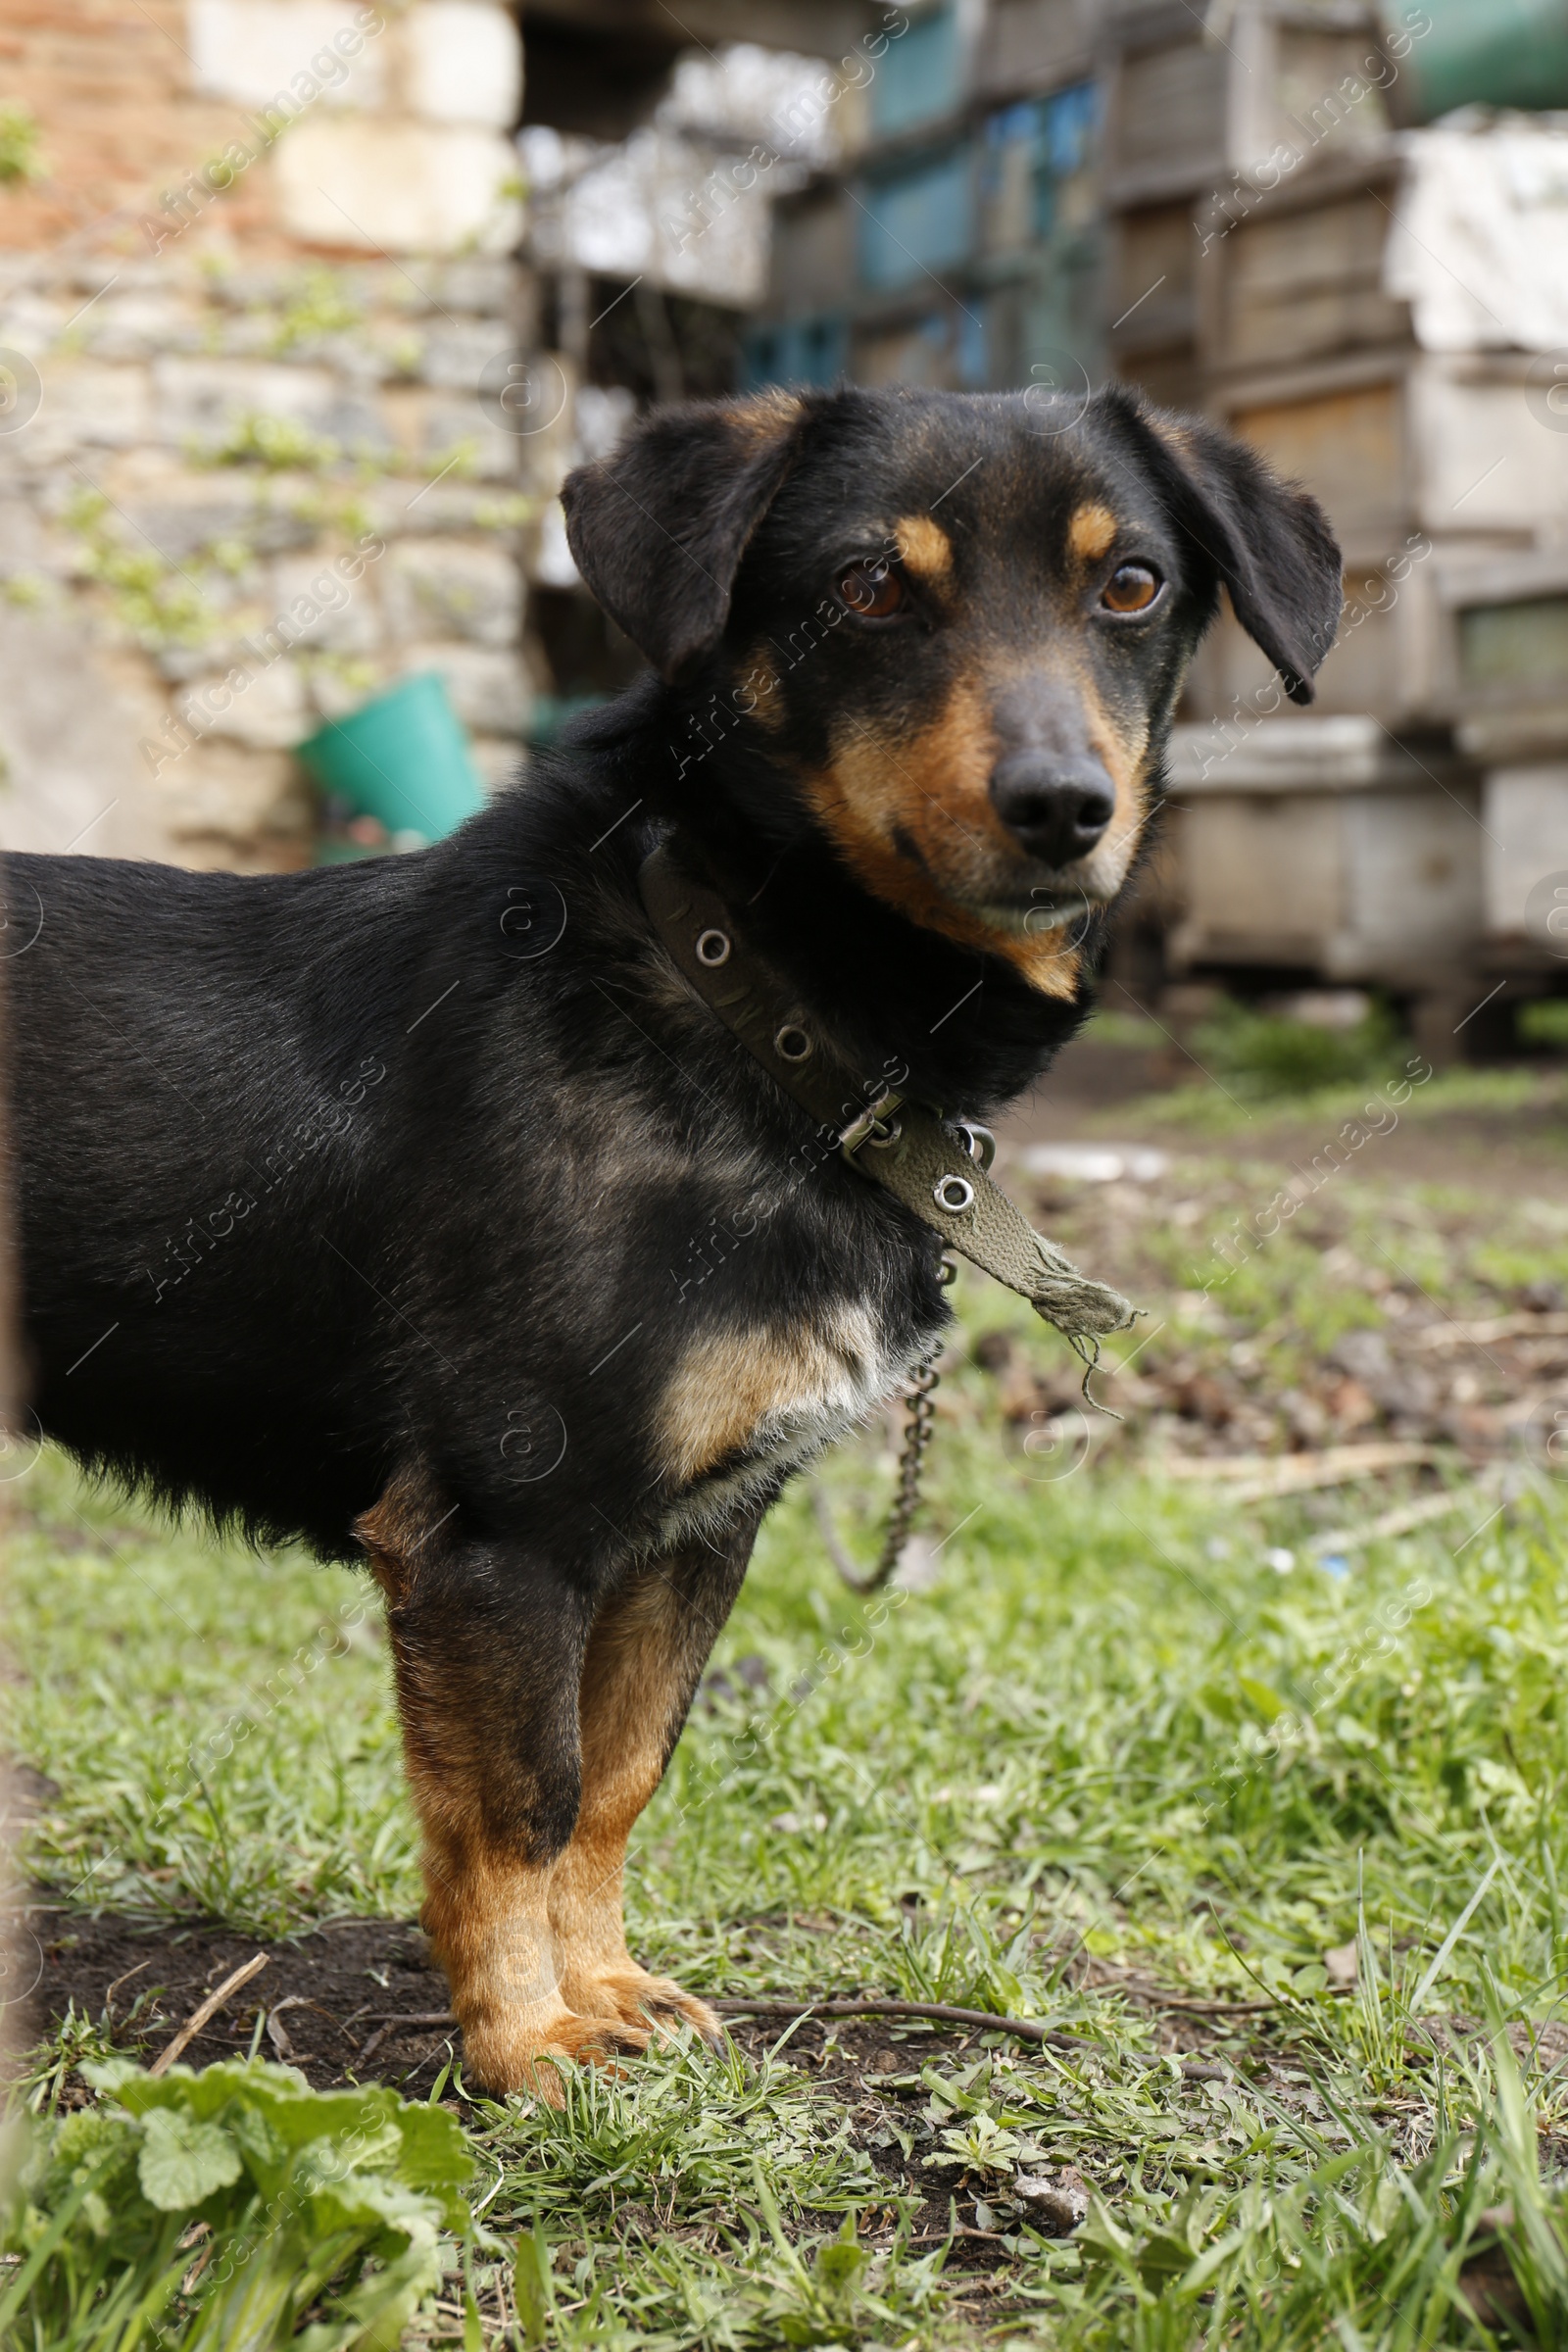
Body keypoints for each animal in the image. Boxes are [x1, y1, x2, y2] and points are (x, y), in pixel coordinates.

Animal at [6, 385, 1345, 2097]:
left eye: (1131, 588)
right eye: (867, 588)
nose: (1062, 808)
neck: (743, 995)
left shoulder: (698, 1530)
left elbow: (624, 1776)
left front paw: (610, 1990)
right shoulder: (501, 1533)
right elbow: (522, 1806)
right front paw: (523, 2048)